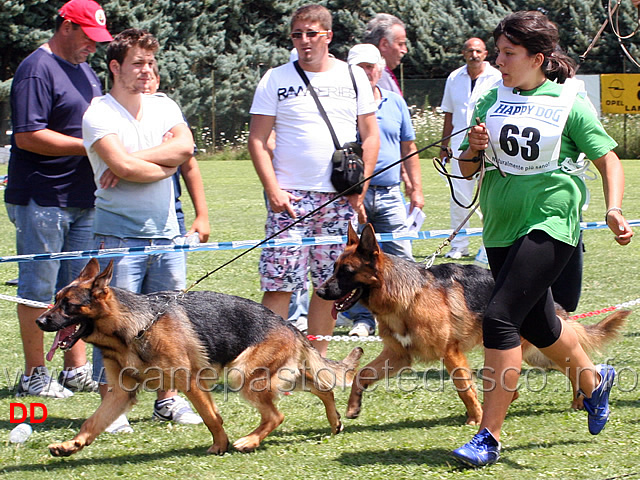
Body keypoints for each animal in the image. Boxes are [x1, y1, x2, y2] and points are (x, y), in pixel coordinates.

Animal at [37, 258, 362, 458]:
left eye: (68, 305)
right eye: (56, 300)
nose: (40, 321)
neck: (134, 328)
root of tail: (289, 324)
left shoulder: (190, 382)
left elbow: (211, 417)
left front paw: (221, 445)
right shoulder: (120, 393)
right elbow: (92, 422)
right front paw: (72, 445)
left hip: (243, 374)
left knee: (277, 415)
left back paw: (250, 440)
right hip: (281, 376)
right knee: (324, 389)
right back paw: (335, 421)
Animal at [318, 224, 628, 424]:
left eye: (346, 272)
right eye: (334, 269)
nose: (319, 292)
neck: (408, 295)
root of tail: (550, 301)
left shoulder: (451, 354)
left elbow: (464, 389)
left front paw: (476, 420)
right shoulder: (397, 356)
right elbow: (362, 374)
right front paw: (353, 406)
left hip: (537, 346)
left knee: (576, 363)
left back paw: (585, 397)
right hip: (536, 353)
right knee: (563, 367)